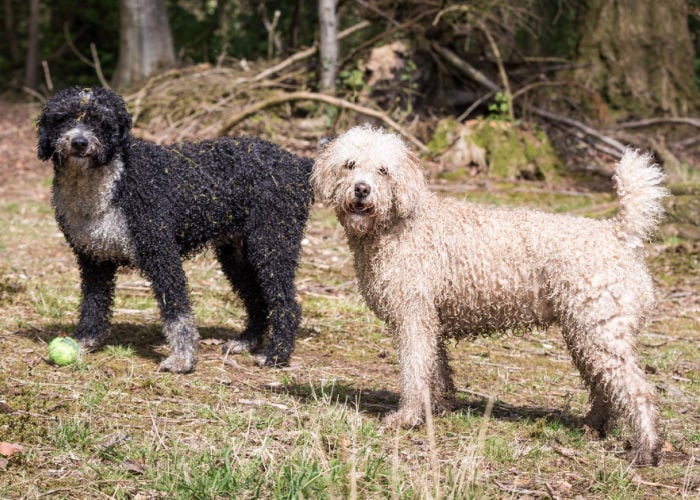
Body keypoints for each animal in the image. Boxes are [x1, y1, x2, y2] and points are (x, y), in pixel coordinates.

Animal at [37, 87, 312, 372]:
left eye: (99, 120)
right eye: (63, 118)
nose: (79, 142)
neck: (110, 180)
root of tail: (297, 163)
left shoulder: (161, 254)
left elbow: (177, 311)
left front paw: (182, 357)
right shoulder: (93, 259)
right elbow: (93, 305)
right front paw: (84, 341)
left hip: (272, 245)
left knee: (286, 304)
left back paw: (276, 354)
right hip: (237, 255)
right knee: (256, 299)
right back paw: (246, 341)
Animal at [312, 125, 668, 464]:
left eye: (383, 170)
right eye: (350, 164)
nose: (361, 189)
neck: (400, 224)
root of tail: (618, 232)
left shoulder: (413, 316)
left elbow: (414, 371)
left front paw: (408, 417)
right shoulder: (430, 319)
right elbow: (436, 370)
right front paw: (438, 407)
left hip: (599, 331)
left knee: (639, 391)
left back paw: (645, 451)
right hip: (585, 333)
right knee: (605, 387)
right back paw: (593, 426)